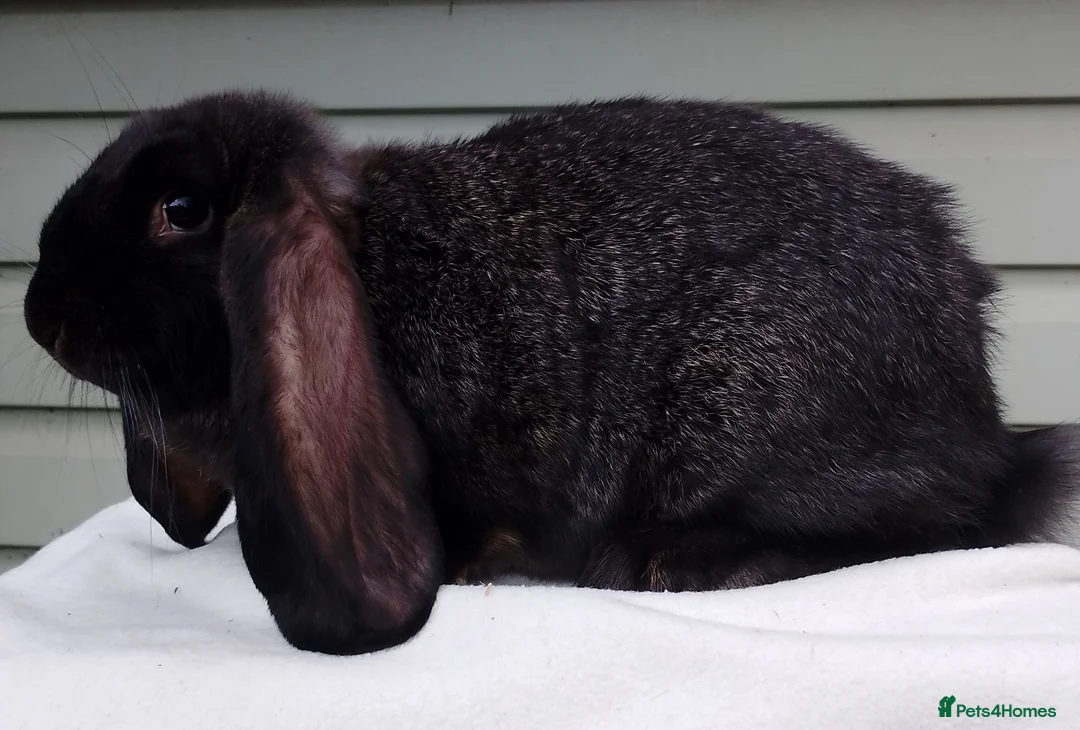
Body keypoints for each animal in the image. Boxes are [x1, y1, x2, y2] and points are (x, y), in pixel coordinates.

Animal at [22, 90, 1080, 656]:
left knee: (932, 529)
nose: (39, 313)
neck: (370, 259)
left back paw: (667, 561)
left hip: (740, 419)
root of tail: (984, 429)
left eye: (182, 209)